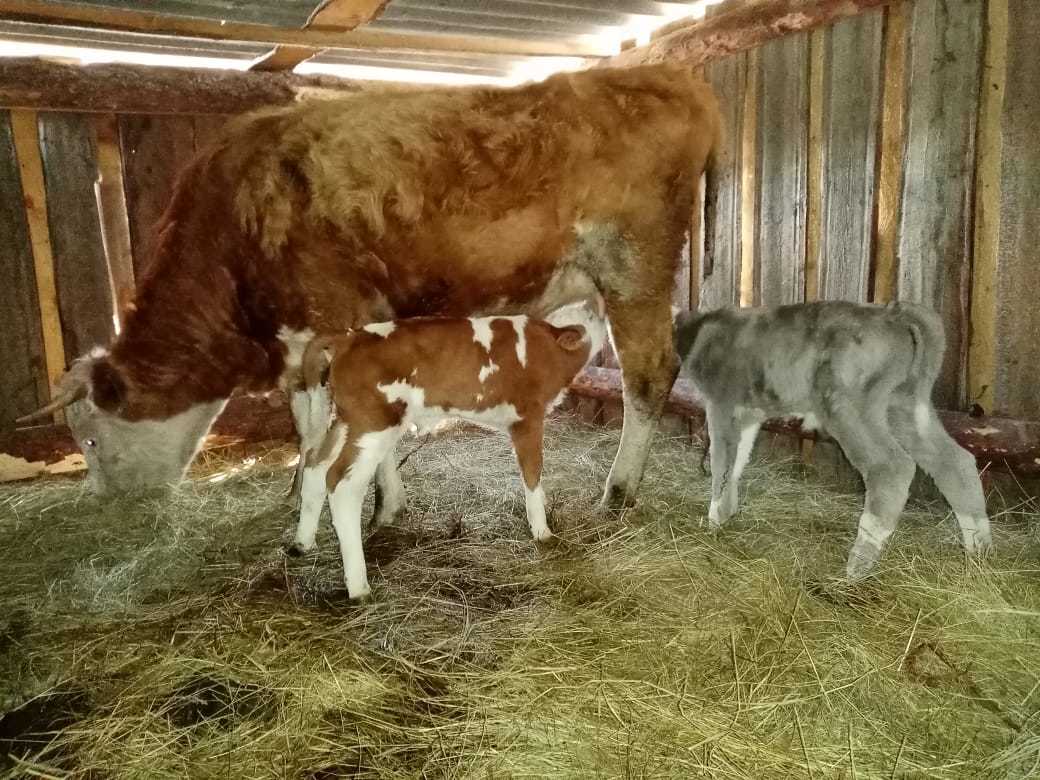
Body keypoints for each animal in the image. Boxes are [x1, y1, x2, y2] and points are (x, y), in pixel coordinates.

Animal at [16, 64, 719, 515]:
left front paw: (376, 504)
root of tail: (669, 77)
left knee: (651, 374)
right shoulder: (303, 343)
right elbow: (309, 426)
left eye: (90, 440)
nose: (100, 503)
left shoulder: (337, 318)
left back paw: (618, 492)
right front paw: (307, 494)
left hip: (634, 267)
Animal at [289, 301, 607, 603]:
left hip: (344, 422)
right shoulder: (527, 418)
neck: (548, 348)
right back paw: (358, 587)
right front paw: (541, 531)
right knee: (342, 485)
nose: (600, 309)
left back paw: (303, 543)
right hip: (372, 423)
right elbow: (532, 472)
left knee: (316, 467)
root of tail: (348, 336)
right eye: (590, 317)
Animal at [673, 301, 990, 582]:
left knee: (892, 466)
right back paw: (978, 554)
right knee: (954, 461)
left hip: (849, 402)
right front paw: (727, 514)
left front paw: (713, 522)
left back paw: (855, 570)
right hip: (905, 404)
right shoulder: (750, 412)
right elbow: (738, 460)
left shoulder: (722, 402)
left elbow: (721, 462)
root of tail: (895, 314)